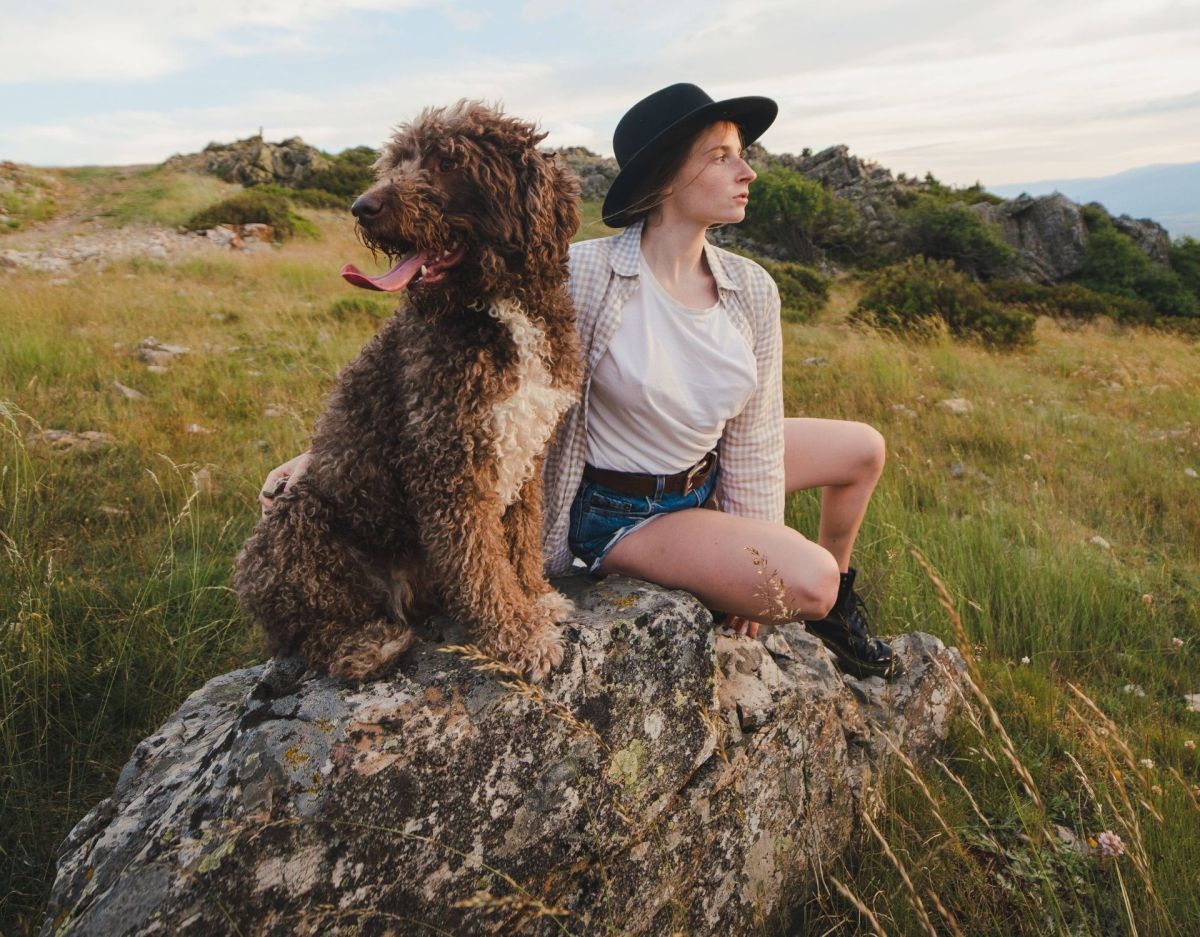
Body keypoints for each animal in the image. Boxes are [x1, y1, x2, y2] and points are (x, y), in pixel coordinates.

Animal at [232, 102, 580, 681]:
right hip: (292, 524)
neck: (495, 306)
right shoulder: (449, 463)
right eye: (397, 161)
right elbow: (483, 568)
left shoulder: (526, 457)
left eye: (447, 161)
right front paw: (519, 636)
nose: (362, 207)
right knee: (308, 632)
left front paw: (536, 597)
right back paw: (364, 645)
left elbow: (519, 543)